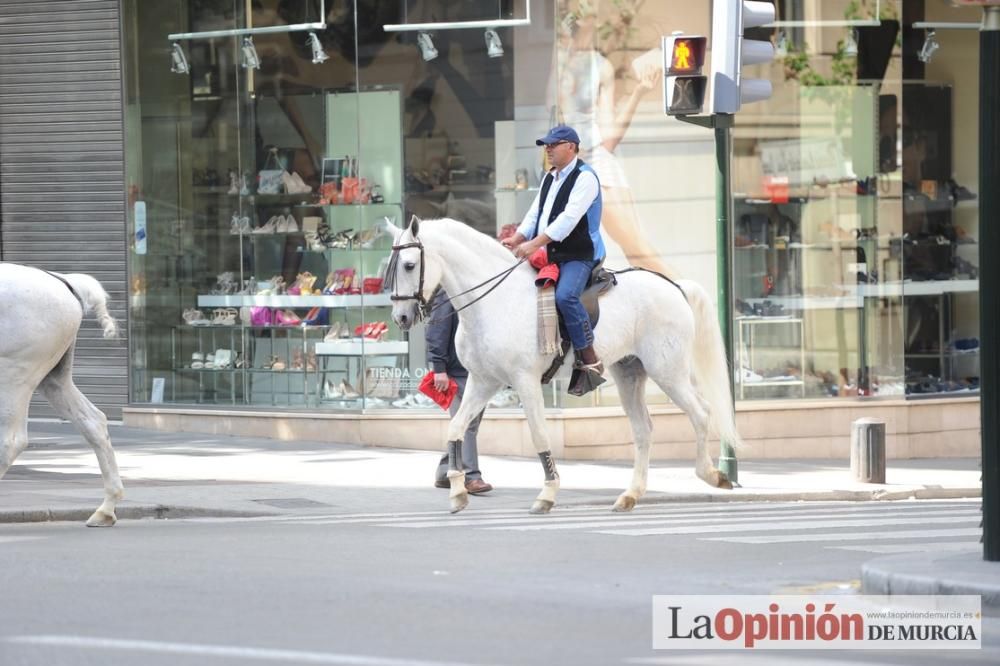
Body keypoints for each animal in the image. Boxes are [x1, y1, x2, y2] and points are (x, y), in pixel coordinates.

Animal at [0, 260, 124, 524]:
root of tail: (63, 281)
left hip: (13, 376)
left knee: (11, 441)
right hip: (53, 379)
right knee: (94, 423)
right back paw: (106, 509)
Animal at [386, 218, 740, 512]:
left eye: (409, 265)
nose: (401, 317)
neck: (495, 302)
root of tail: (675, 286)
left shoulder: (525, 381)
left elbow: (539, 435)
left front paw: (547, 493)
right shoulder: (483, 381)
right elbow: (457, 427)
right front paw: (458, 491)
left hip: (668, 372)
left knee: (701, 413)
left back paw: (712, 474)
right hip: (629, 373)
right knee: (643, 430)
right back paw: (631, 494)